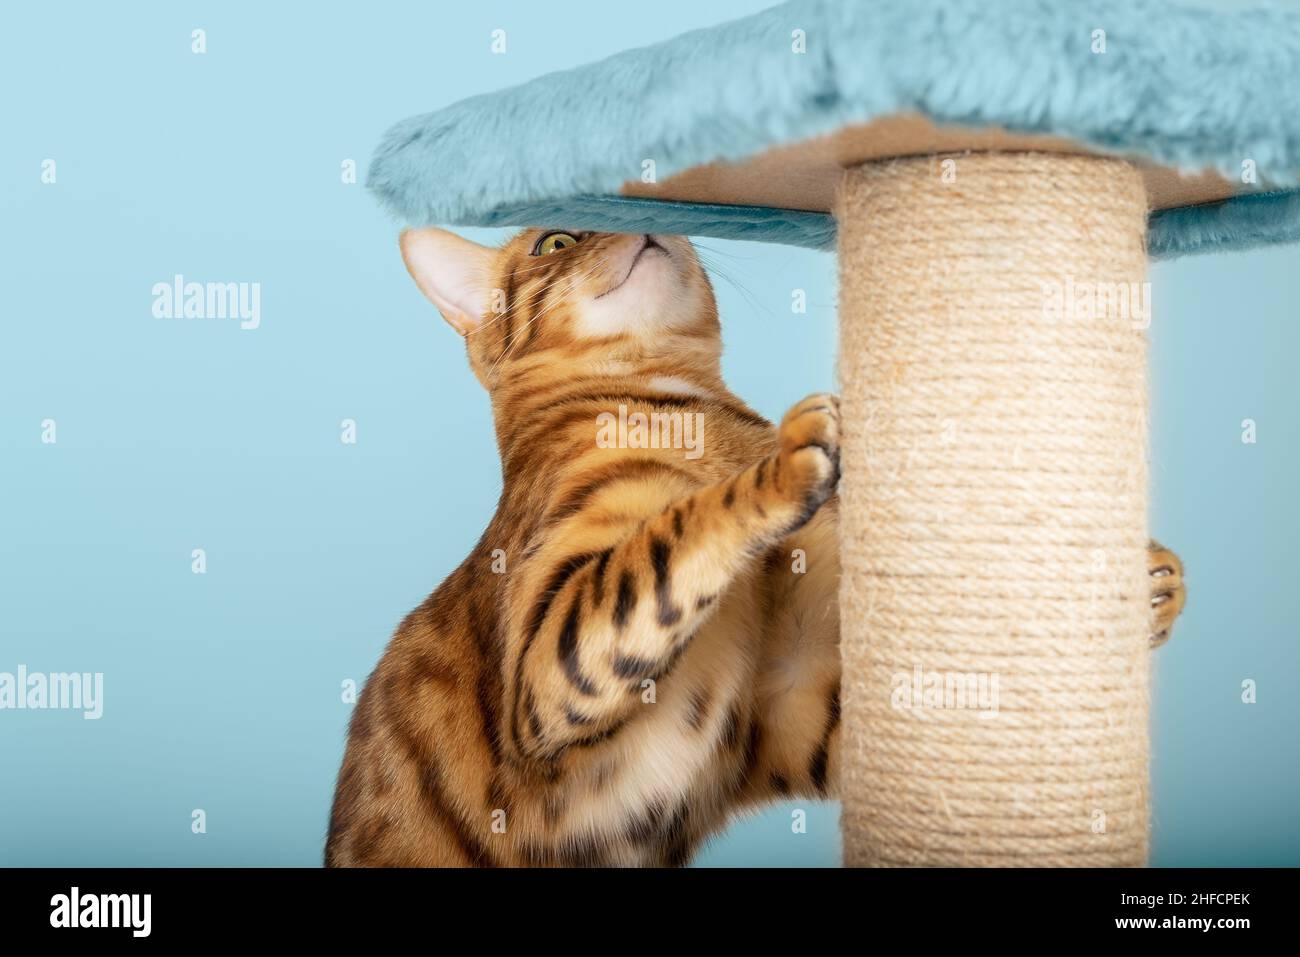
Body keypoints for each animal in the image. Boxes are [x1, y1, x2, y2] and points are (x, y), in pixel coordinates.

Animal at [327, 230, 1190, 868]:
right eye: (557, 240)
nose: (646, 221)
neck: (689, 410)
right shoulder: (548, 662)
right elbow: (680, 527)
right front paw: (791, 454)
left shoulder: (785, 703)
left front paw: (1148, 582)